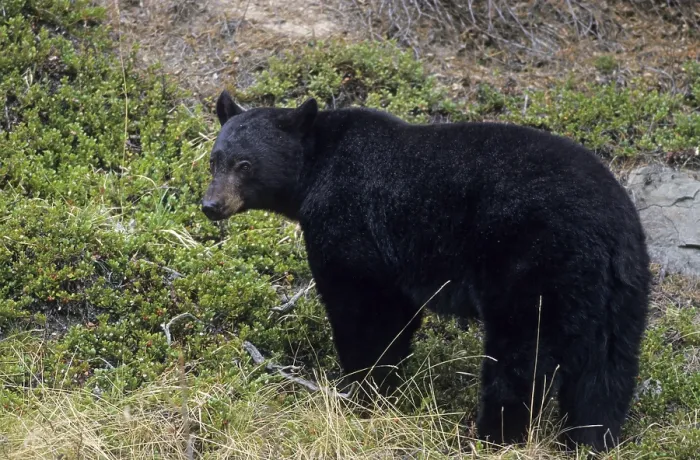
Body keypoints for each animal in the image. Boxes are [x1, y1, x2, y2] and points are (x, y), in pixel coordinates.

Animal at [201, 90, 651, 452]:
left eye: (245, 164)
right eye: (214, 159)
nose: (211, 205)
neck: (316, 169)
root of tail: (609, 230)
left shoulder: (351, 222)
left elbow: (364, 308)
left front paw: (361, 389)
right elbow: (395, 315)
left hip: (534, 265)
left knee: (521, 358)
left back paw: (492, 435)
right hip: (621, 290)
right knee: (607, 369)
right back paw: (590, 439)